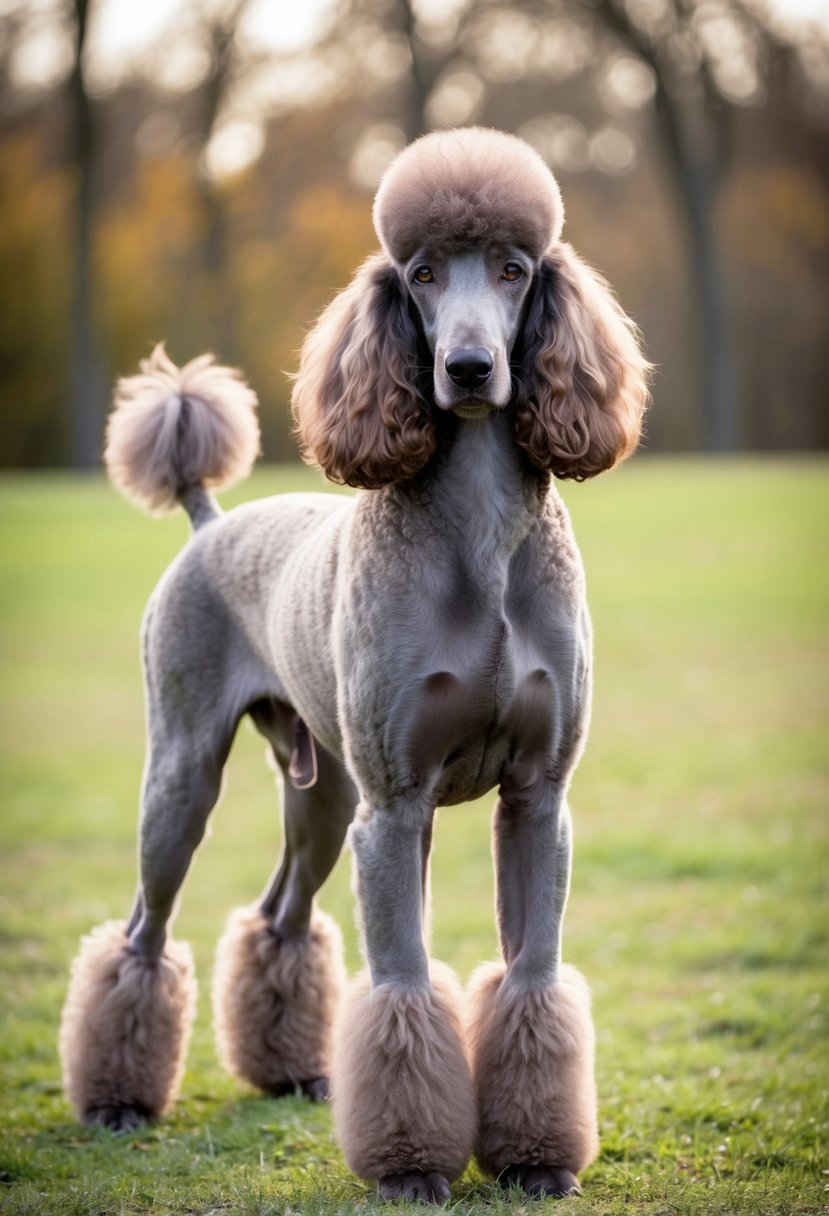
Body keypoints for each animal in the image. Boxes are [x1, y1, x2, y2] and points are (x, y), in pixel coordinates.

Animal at [61, 128, 646, 1201]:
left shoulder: (535, 798)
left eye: (513, 269)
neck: (477, 542)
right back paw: (119, 1100)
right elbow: (403, 987)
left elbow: (530, 980)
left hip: (326, 792)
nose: (468, 367)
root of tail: (209, 521)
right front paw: (410, 1167)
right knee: (140, 935)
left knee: (280, 917)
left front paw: (536, 1159)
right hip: (187, 778)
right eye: (420, 275)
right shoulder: (399, 806)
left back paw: (294, 1072)